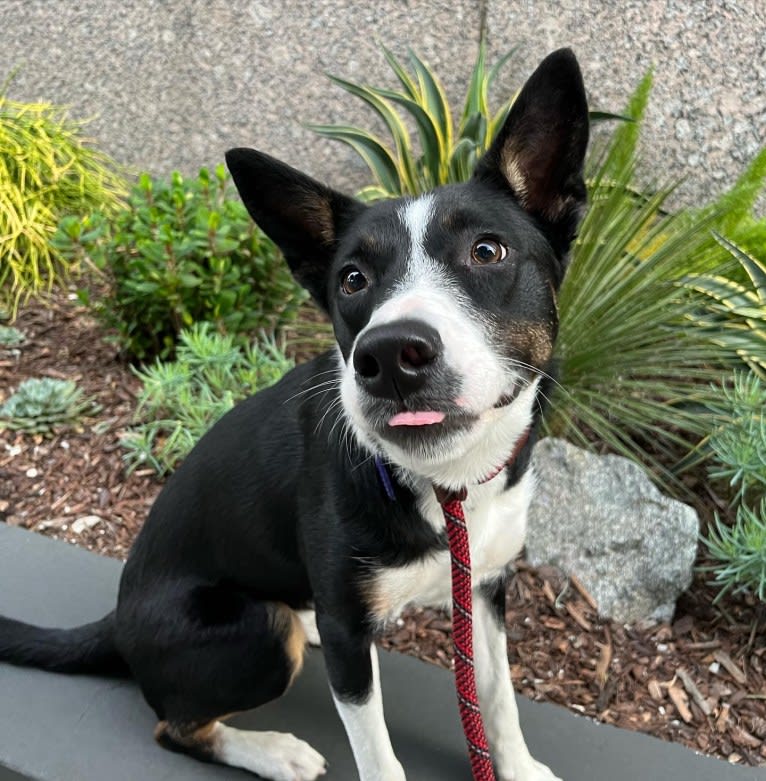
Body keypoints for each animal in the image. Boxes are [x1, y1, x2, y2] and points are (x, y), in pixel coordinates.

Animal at [0, 47, 592, 780]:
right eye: (352, 280)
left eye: (488, 251)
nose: (389, 356)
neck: (445, 486)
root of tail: (118, 620)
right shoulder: (349, 636)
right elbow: (379, 755)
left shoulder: (484, 587)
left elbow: (499, 693)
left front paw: (517, 765)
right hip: (256, 632)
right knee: (176, 724)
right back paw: (274, 751)